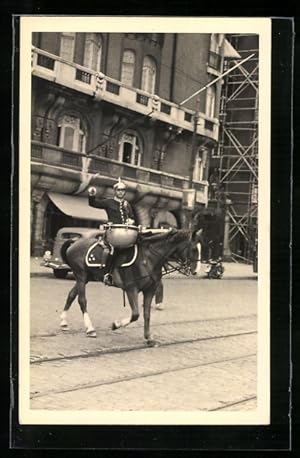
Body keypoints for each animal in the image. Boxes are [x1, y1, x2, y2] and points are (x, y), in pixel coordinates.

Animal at [59, 231, 199, 346]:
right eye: (193, 249)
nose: (195, 271)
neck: (147, 259)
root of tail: (75, 241)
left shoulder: (149, 291)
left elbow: (147, 314)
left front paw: (148, 338)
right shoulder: (131, 289)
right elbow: (136, 314)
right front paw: (116, 325)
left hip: (86, 277)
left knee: (71, 295)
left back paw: (64, 323)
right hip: (81, 276)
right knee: (82, 300)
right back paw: (90, 329)